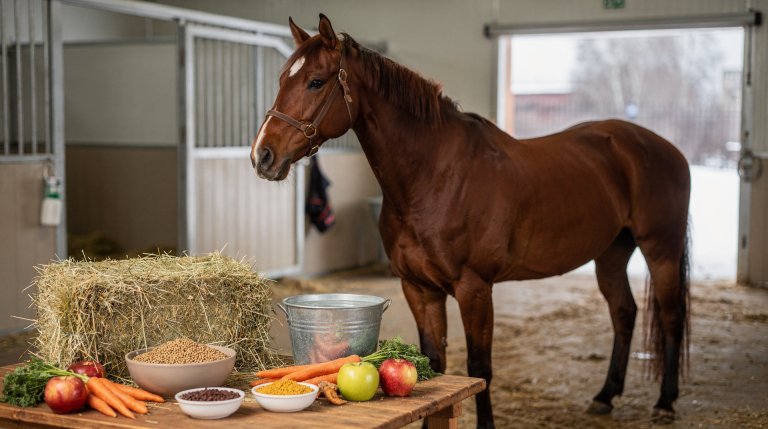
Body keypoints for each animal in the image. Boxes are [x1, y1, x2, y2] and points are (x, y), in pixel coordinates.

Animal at [250, 14, 691, 429]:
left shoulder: (474, 289)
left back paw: (666, 402)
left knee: (671, 318)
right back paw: (605, 396)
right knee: (624, 314)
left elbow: (480, 369)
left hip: (660, 251)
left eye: (316, 82)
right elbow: (435, 365)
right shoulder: (419, 289)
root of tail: (663, 148)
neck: (434, 177)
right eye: (282, 79)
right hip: (612, 253)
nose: (262, 156)